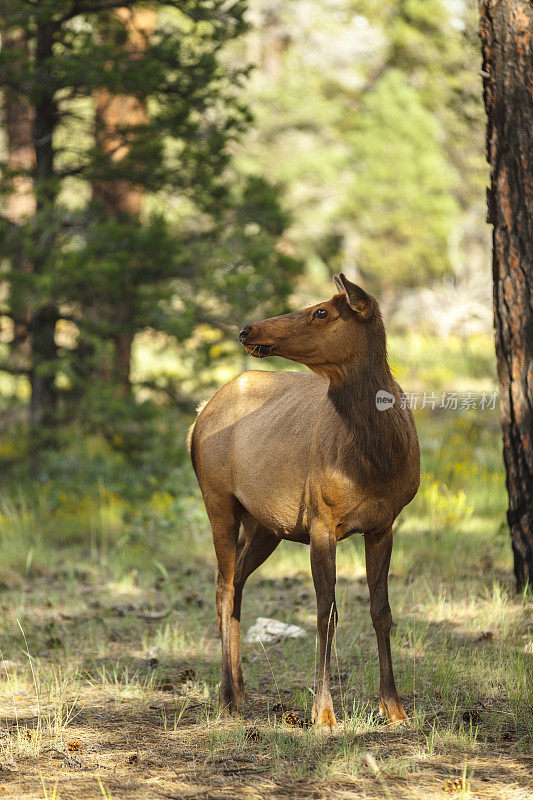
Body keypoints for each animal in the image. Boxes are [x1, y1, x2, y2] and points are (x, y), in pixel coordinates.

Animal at [188, 276, 420, 732]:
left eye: (321, 311)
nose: (248, 330)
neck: (376, 462)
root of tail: (197, 416)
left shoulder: (383, 524)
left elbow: (381, 610)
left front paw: (395, 708)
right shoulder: (321, 522)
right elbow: (326, 613)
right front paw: (324, 713)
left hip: (264, 525)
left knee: (238, 584)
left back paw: (241, 689)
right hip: (217, 498)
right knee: (223, 587)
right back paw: (226, 698)